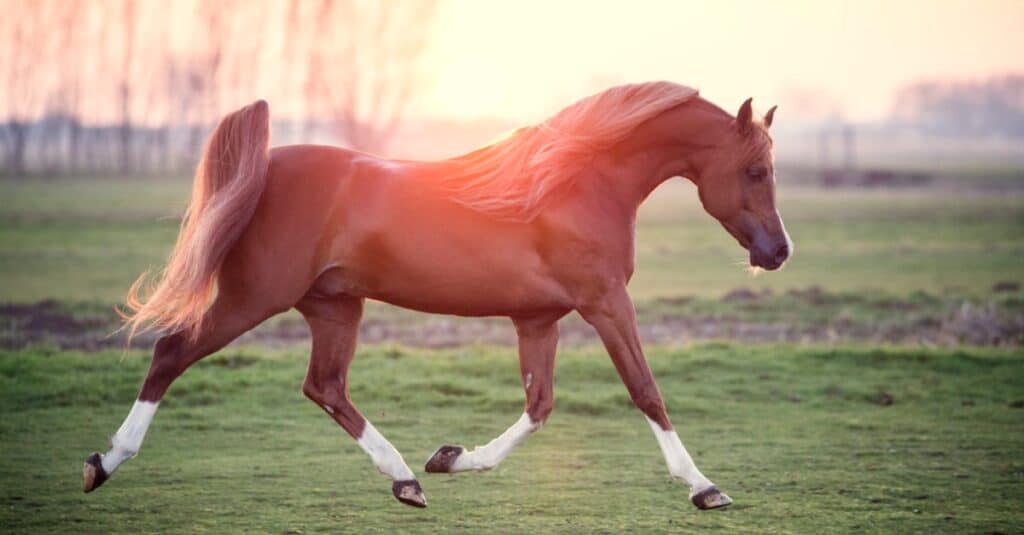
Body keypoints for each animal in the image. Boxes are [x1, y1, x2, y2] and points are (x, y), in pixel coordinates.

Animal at [83, 81, 794, 508]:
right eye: (756, 170)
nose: (779, 252)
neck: (577, 184)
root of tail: (266, 166)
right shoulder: (605, 304)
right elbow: (646, 391)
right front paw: (704, 487)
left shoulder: (539, 319)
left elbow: (539, 405)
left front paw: (451, 459)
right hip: (253, 297)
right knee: (172, 353)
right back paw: (104, 462)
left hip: (334, 306)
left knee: (325, 387)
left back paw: (405, 479)